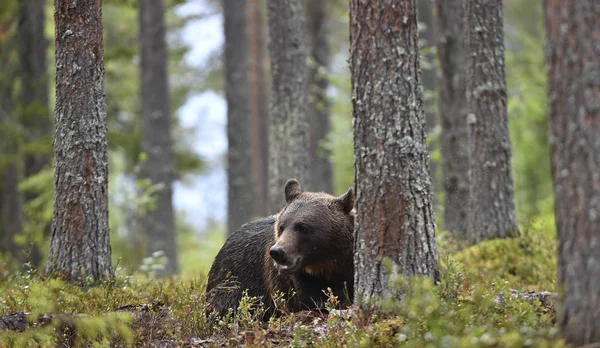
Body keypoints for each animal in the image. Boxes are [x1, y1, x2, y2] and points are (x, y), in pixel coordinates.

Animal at [207, 179, 356, 318]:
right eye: (281, 227)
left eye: (303, 227)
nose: (277, 252)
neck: (327, 265)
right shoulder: (294, 281)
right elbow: (307, 300)